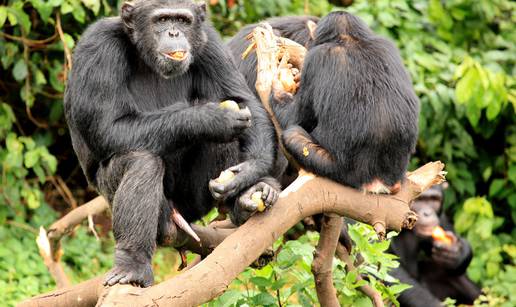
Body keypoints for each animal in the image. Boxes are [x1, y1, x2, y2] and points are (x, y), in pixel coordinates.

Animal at [66, 0, 280, 288]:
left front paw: (245, 173)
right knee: (142, 163)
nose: (174, 32)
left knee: (226, 140)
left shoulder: (209, 41)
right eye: (161, 20)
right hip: (121, 196)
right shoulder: (97, 47)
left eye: (182, 20)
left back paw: (246, 199)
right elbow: (109, 126)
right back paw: (133, 263)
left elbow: (242, 100)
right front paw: (209, 118)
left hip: (194, 202)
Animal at [266, 12, 420, 195]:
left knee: (292, 134)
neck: (350, 39)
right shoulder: (388, 46)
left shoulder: (315, 60)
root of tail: (381, 182)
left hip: (335, 169)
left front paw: (277, 87)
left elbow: (296, 116)